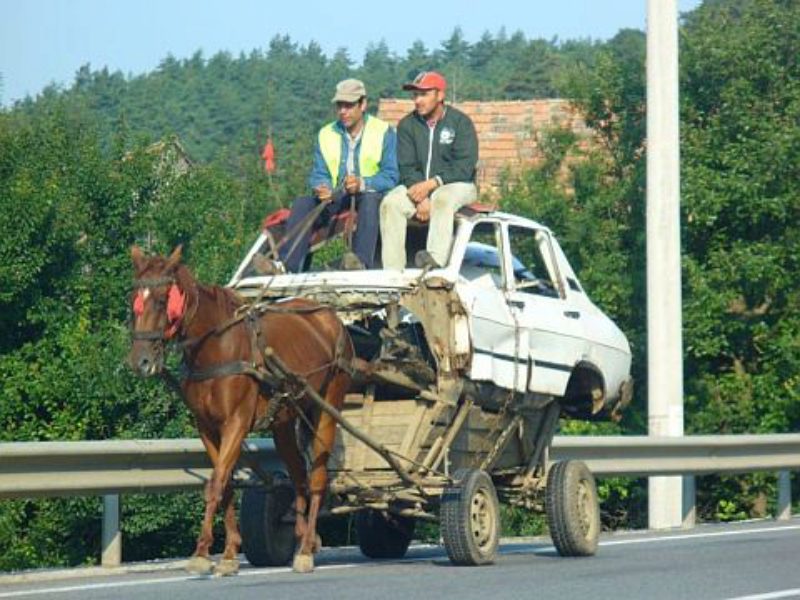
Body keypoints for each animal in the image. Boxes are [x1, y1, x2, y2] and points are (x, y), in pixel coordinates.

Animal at [128, 245, 354, 576]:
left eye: (161, 300)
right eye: (133, 300)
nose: (140, 361)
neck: (216, 347)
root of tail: (330, 317)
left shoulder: (235, 423)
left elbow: (217, 482)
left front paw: (202, 553)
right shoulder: (207, 429)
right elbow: (225, 485)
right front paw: (230, 551)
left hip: (328, 406)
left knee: (316, 478)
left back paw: (305, 551)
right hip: (284, 424)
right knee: (298, 474)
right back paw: (304, 539)